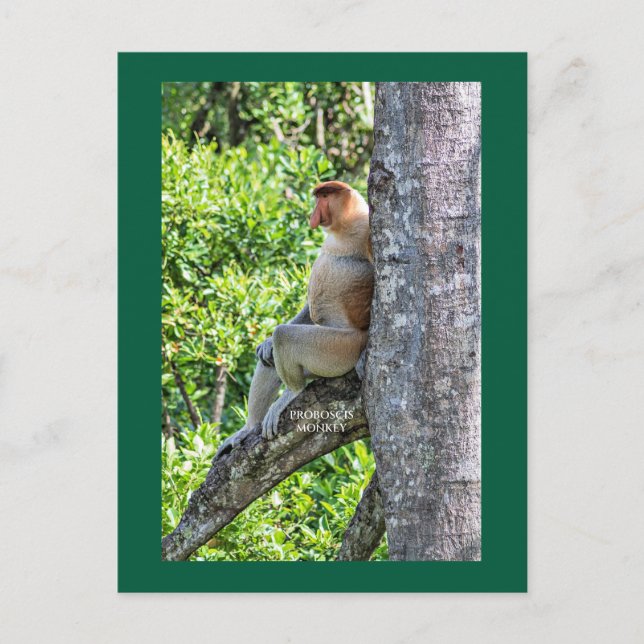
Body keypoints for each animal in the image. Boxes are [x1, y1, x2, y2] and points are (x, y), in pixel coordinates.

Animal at [215, 180, 373, 458]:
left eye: (324, 196)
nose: (313, 215)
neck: (344, 227)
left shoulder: (368, 231)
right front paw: (265, 343)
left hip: (339, 349)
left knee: (285, 337)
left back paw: (291, 393)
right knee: (270, 359)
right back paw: (248, 427)